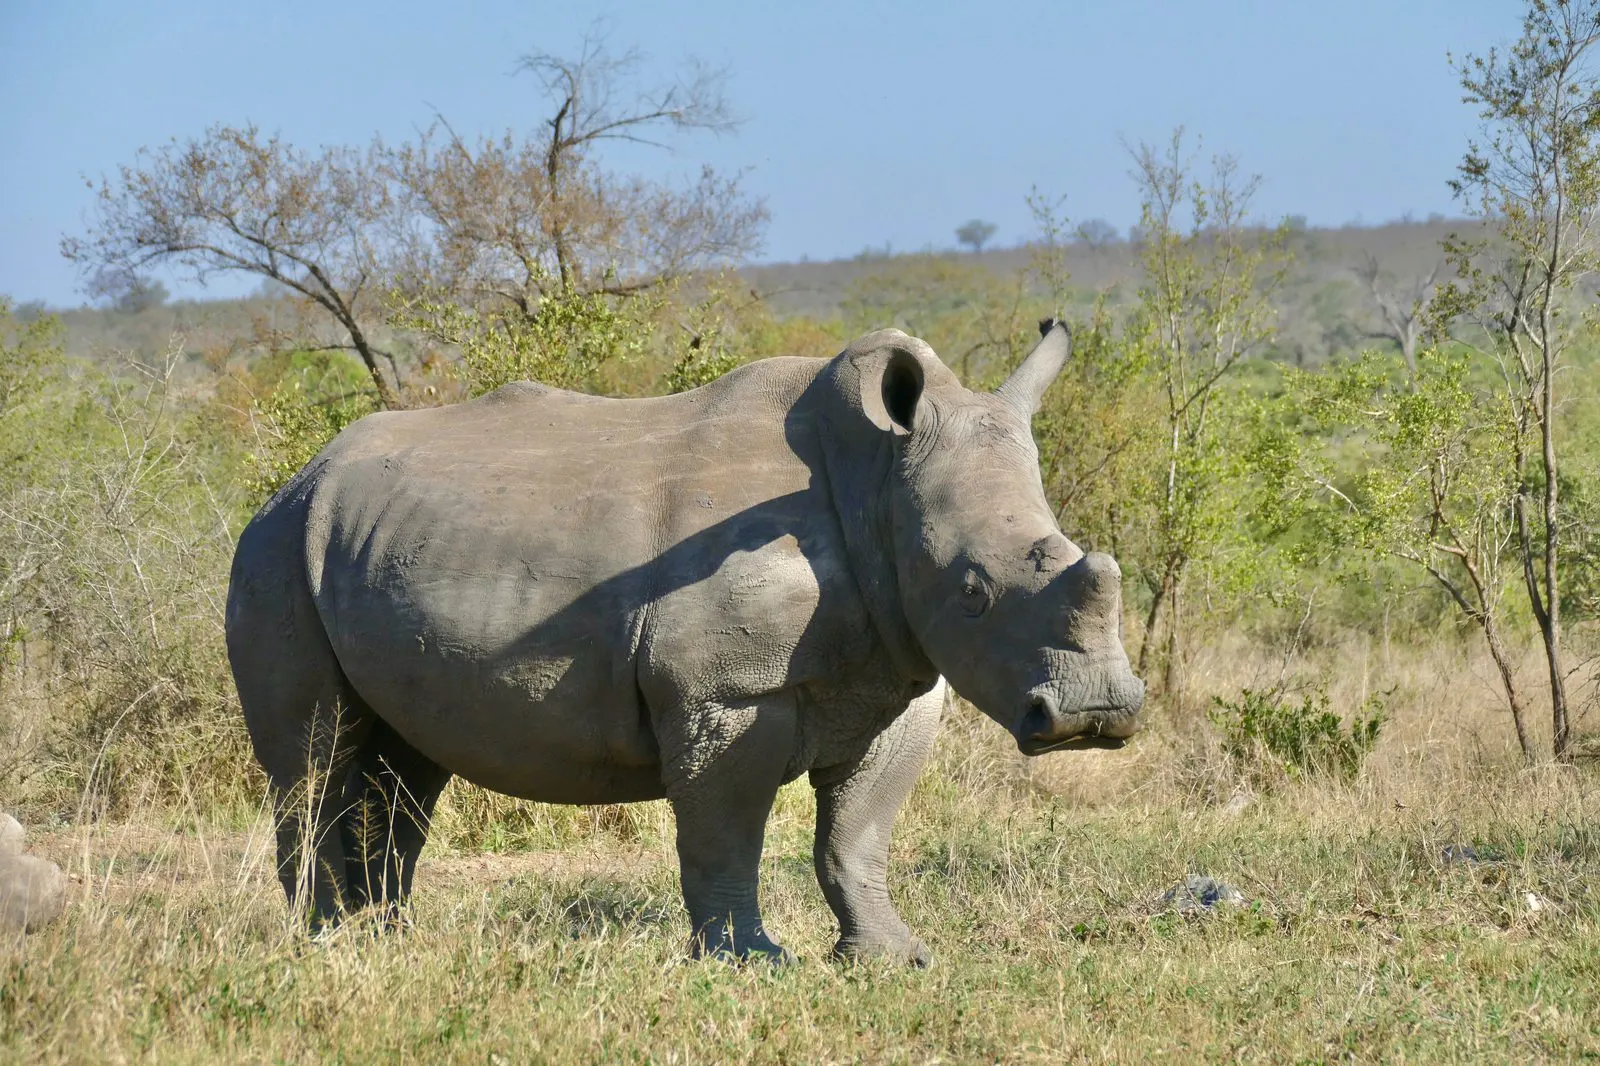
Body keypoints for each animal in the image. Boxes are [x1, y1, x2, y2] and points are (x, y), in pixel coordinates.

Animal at [226, 321, 1144, 965]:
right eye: (973, 592)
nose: (1095, 714)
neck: (877, 481)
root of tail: (296, 478)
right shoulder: (728, 692)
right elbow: (724, 834)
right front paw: (751, 963)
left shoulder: (901, 678)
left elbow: (857, 835)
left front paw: (893, 959)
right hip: (276, 549)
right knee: (314, 755)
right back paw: (326, 943)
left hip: (365, 541)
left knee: (405, 764)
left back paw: (389, 940)